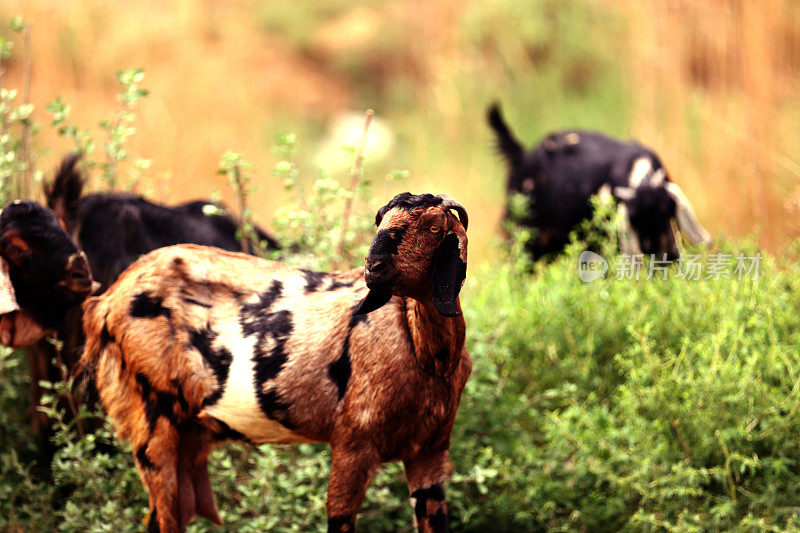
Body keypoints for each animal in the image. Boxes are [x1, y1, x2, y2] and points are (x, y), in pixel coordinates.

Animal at [81, 192, 468, 532]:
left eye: (434, 227)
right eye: (380, 222)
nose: (373, 268)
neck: (424, 352)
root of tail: (107, 299)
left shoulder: (430, 455)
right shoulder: (351, 446)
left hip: (186, 435)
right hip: (151, 419)